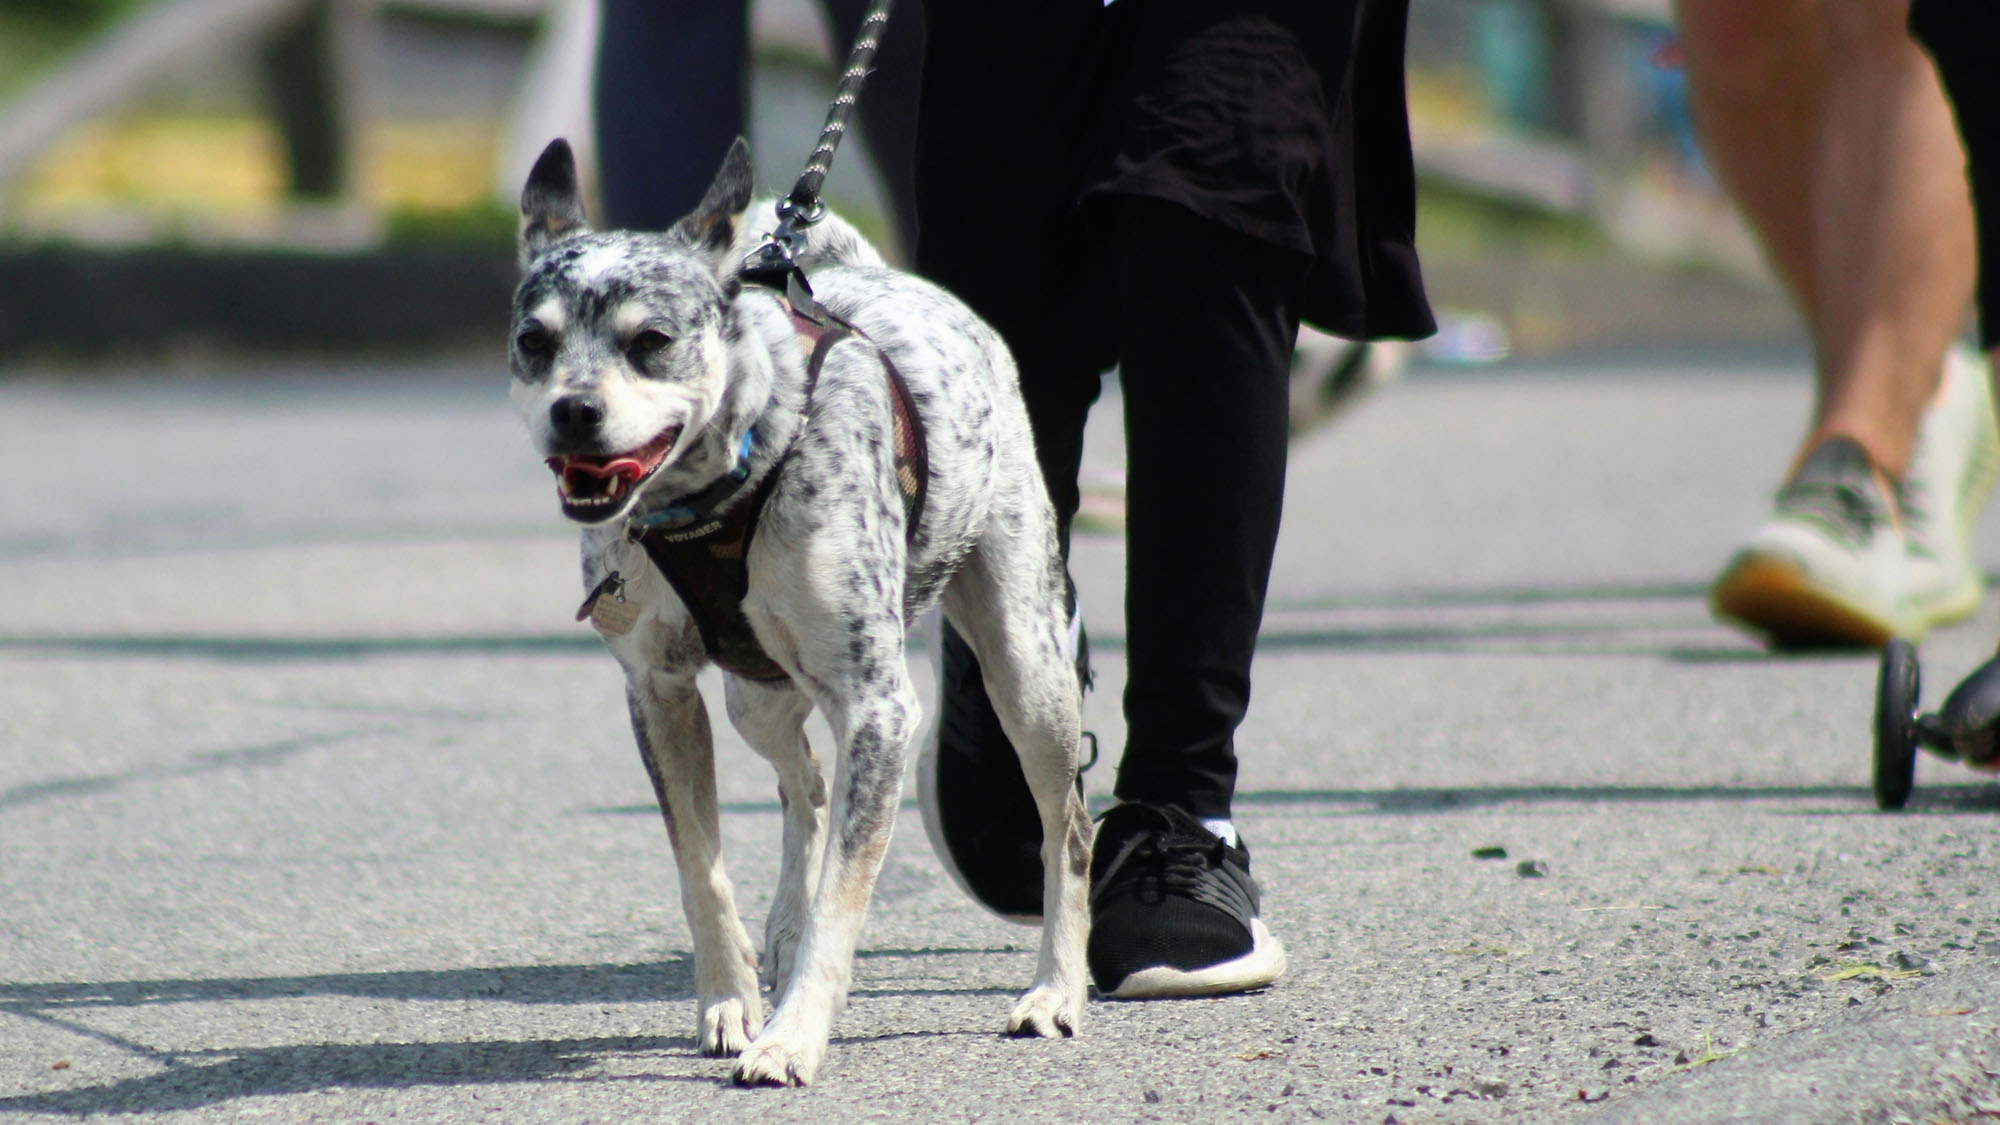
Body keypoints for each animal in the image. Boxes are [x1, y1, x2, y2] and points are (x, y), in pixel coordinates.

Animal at [508, 137, 1090, 1086]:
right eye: (534, 340)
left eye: (651, 341)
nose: (574, 410)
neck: (718, 490)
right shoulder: (659, 695)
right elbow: (700, 868)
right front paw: (729, 1002)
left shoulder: (879, 708)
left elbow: (840, 900)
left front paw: (790, 1035)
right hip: (754, 695)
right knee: (806, 783)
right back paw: (775, 934)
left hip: (1027, 673)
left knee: (1067, 827)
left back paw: (1056, 990)